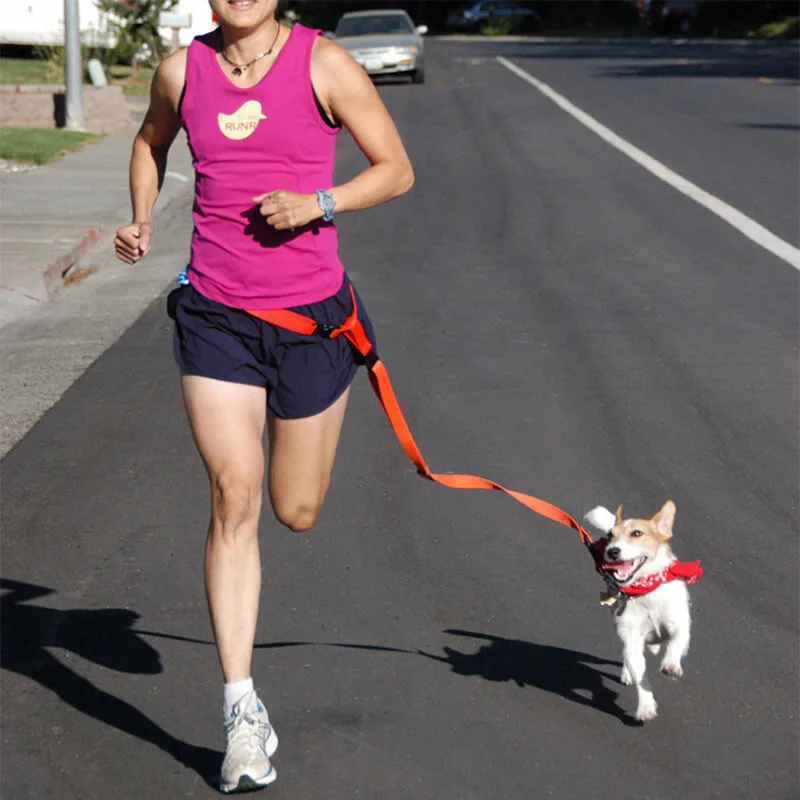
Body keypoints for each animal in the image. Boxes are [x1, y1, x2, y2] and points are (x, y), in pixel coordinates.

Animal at [580, 504, 700, 720]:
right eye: (610, 535)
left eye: (637, 533)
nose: (612, 551)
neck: (645, 591)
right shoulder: (632, 640)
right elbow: (641, 676)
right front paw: (645, 706)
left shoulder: (680, 626)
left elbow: (676, 643)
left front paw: (670, 663)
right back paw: (628, 672)